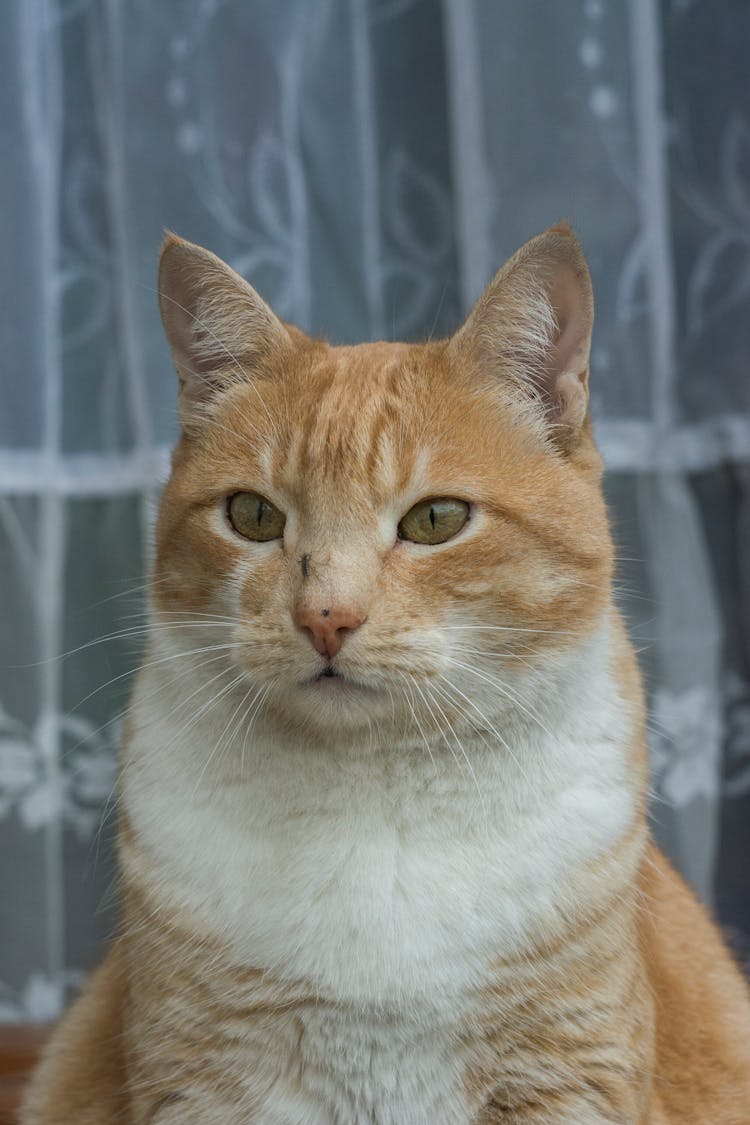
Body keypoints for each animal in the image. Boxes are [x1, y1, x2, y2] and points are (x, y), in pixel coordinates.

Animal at [22, 223, 750, 1120]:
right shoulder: (200, 1076)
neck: (372, 799)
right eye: (252, 515)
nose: (325, 616)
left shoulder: (569, 1071)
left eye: (436, 519)